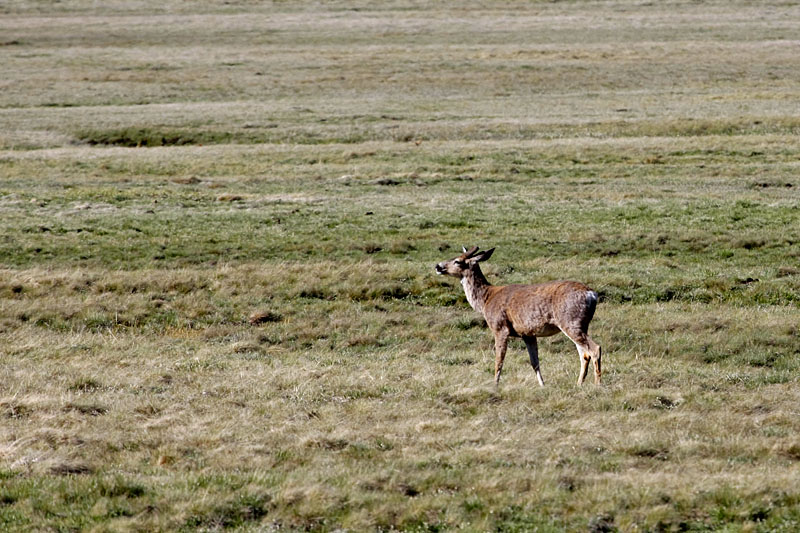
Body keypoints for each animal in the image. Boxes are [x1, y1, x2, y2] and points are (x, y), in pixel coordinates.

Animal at [438, 245, 600, 386]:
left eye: (457, 261)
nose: (438, 266)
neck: (486, 300)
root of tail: (591, 294)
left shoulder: (500, 327)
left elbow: (499, 360)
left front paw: (495, 385)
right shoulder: (527, 333)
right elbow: (535, 362)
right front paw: (542, 385)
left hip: (570, 321)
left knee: (595, 349)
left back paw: (598, 384)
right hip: (580, 324)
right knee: (584, 355)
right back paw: (579, 384)